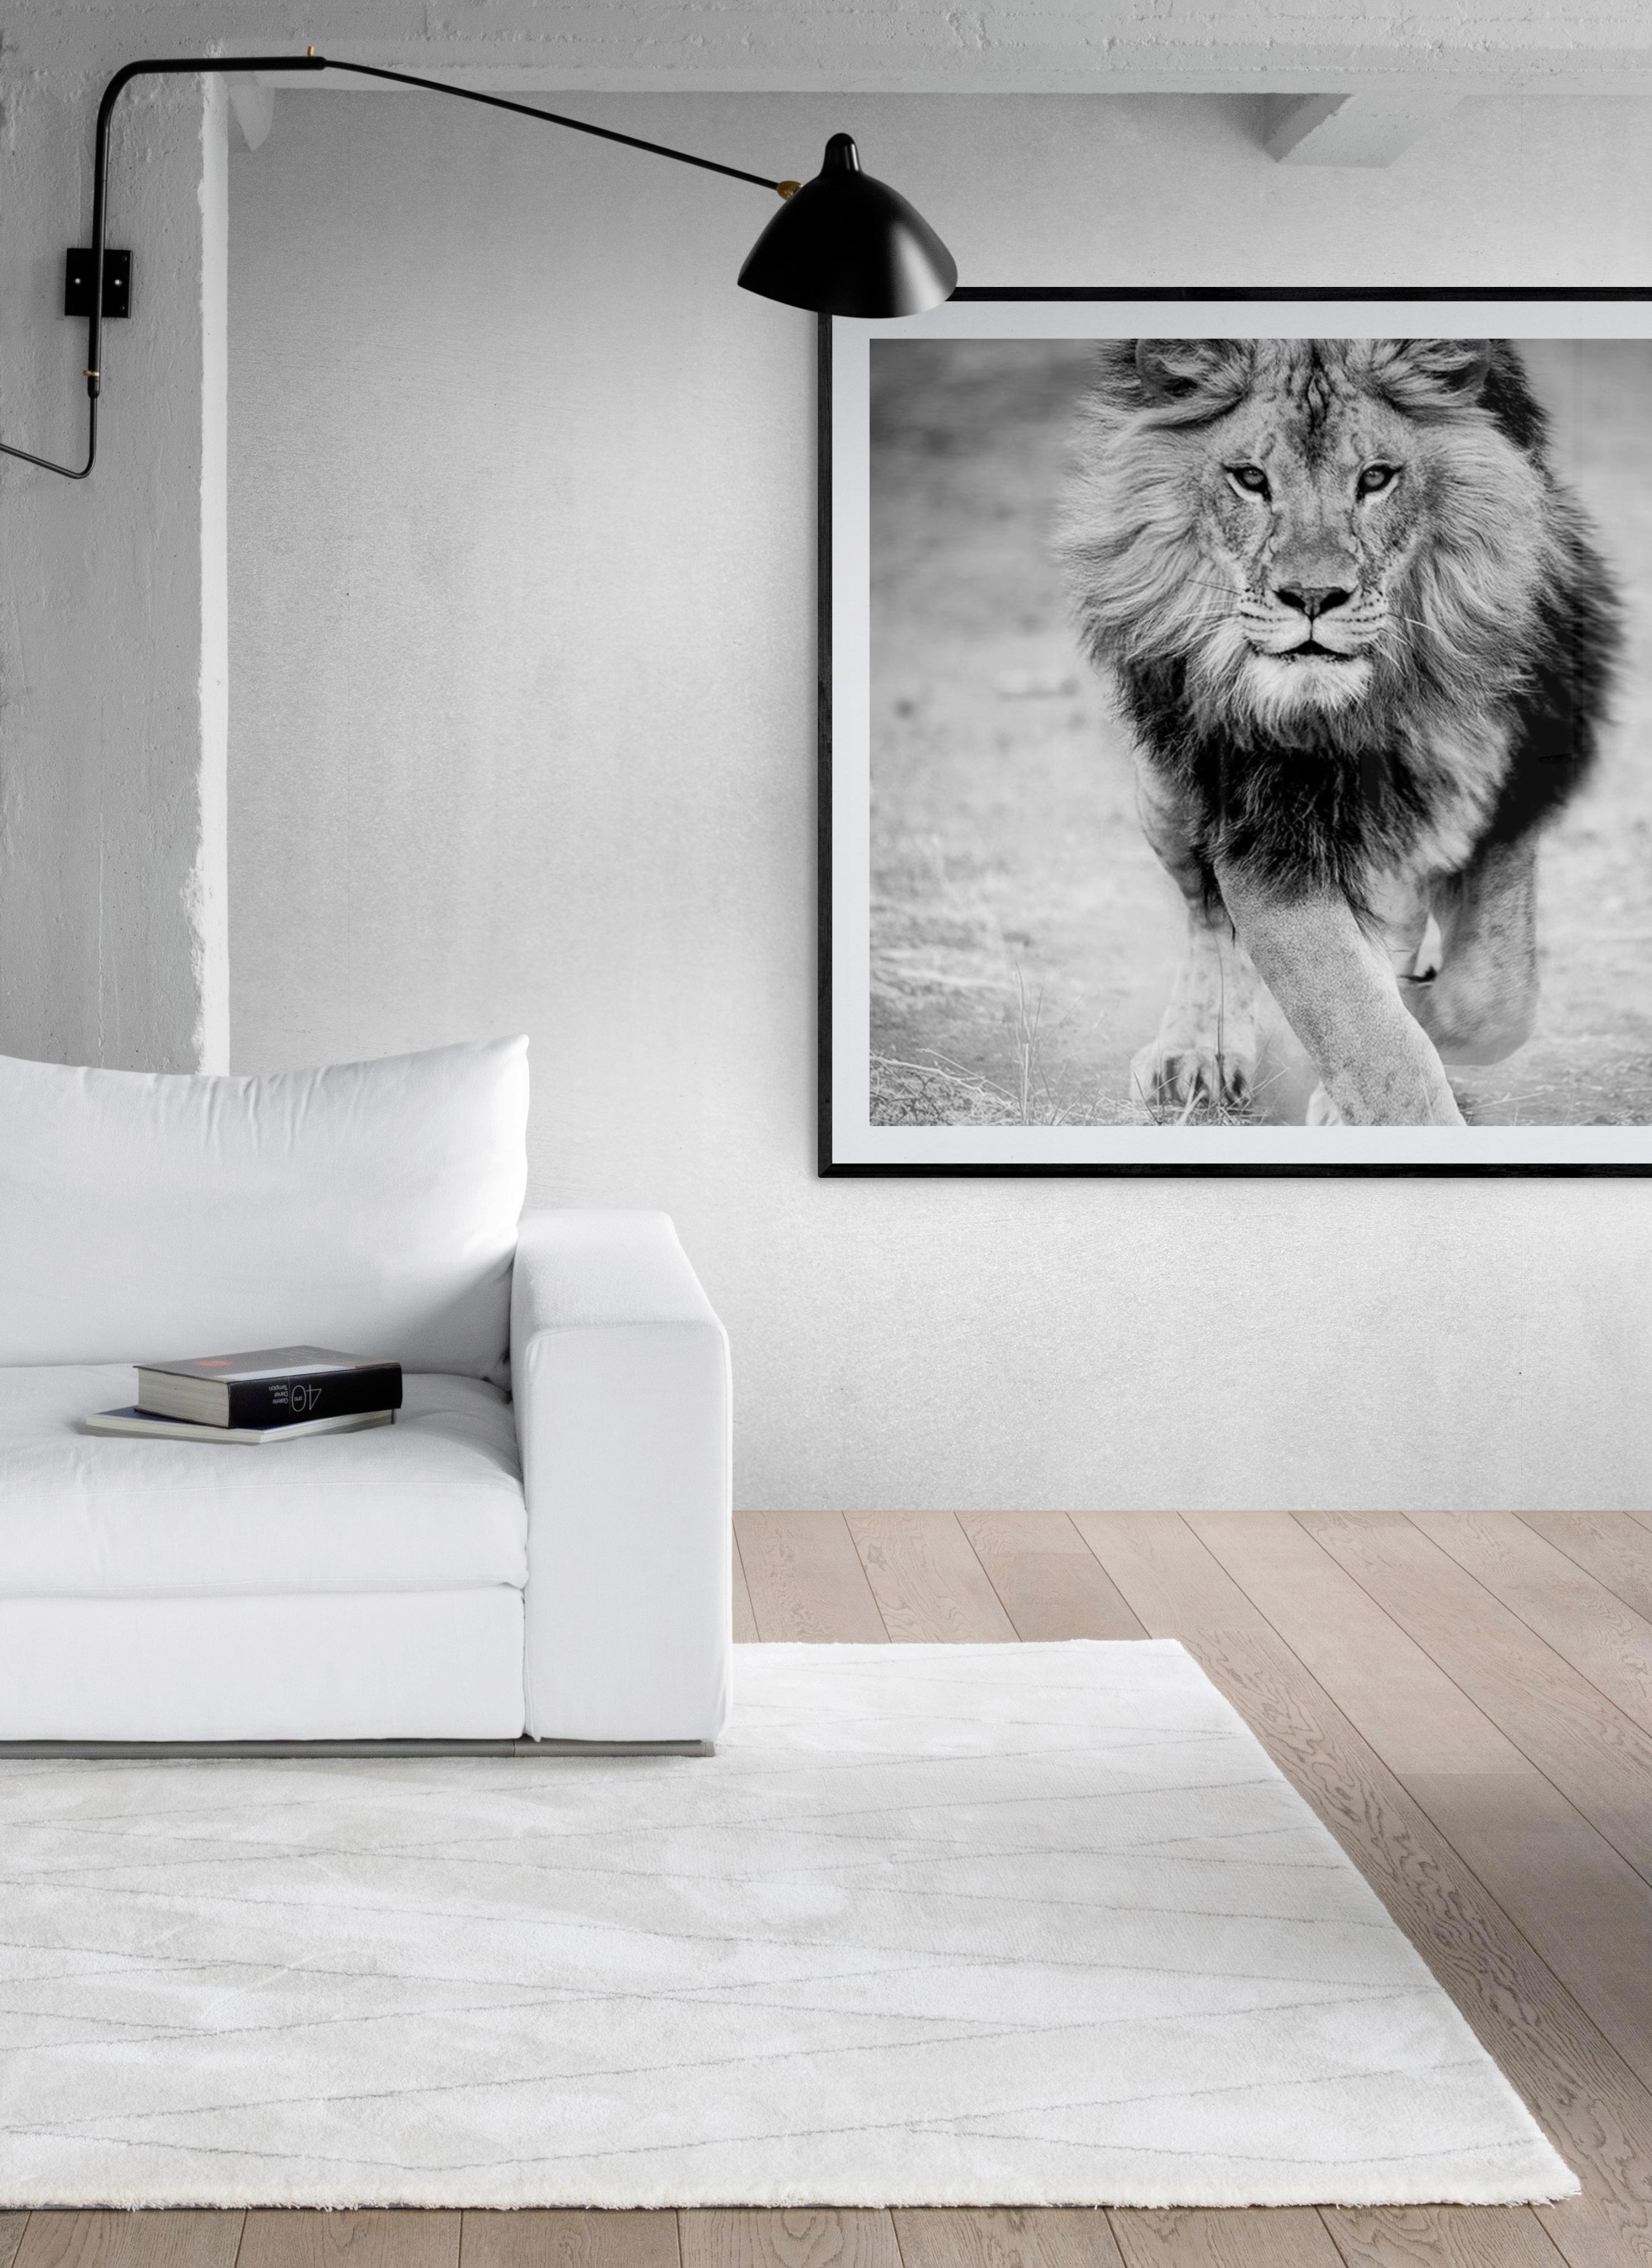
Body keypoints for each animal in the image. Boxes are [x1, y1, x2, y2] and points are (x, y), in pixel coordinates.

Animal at [1058, 337, 1621, 1127]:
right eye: (1250, 479)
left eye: (1377, 478)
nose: (1312, 597)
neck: (1374, 706)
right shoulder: (1263, 832)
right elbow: (1362, 1029)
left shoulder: (1510, 795)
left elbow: (1493, 995)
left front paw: (1423, 1012)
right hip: (1167, 791)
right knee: (1206, 912)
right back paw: (1198, 1054)